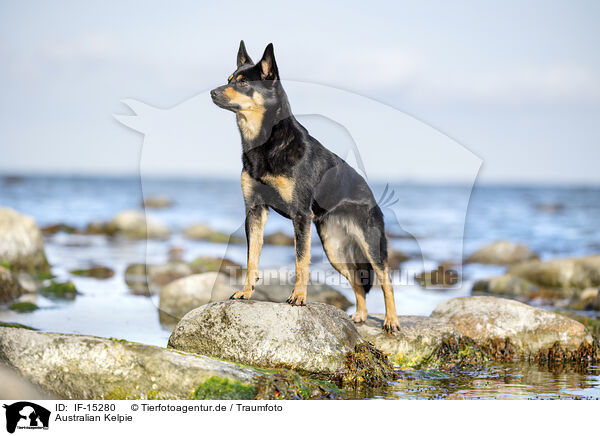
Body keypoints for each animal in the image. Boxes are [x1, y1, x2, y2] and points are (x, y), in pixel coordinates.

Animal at [209, 42, 400, 332]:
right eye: (229, 79)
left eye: (243, 83)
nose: (212, 92)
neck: (267, 142)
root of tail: (370, 193)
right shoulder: (254, 211)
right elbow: (252, 258)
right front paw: (246, 292)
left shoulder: (300, 215)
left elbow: (301, 261)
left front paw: (298, 297)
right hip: (334, 248)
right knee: (357, 279)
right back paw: (359, 315)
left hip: (370, 243)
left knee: (385, 277)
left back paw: (391, 320)